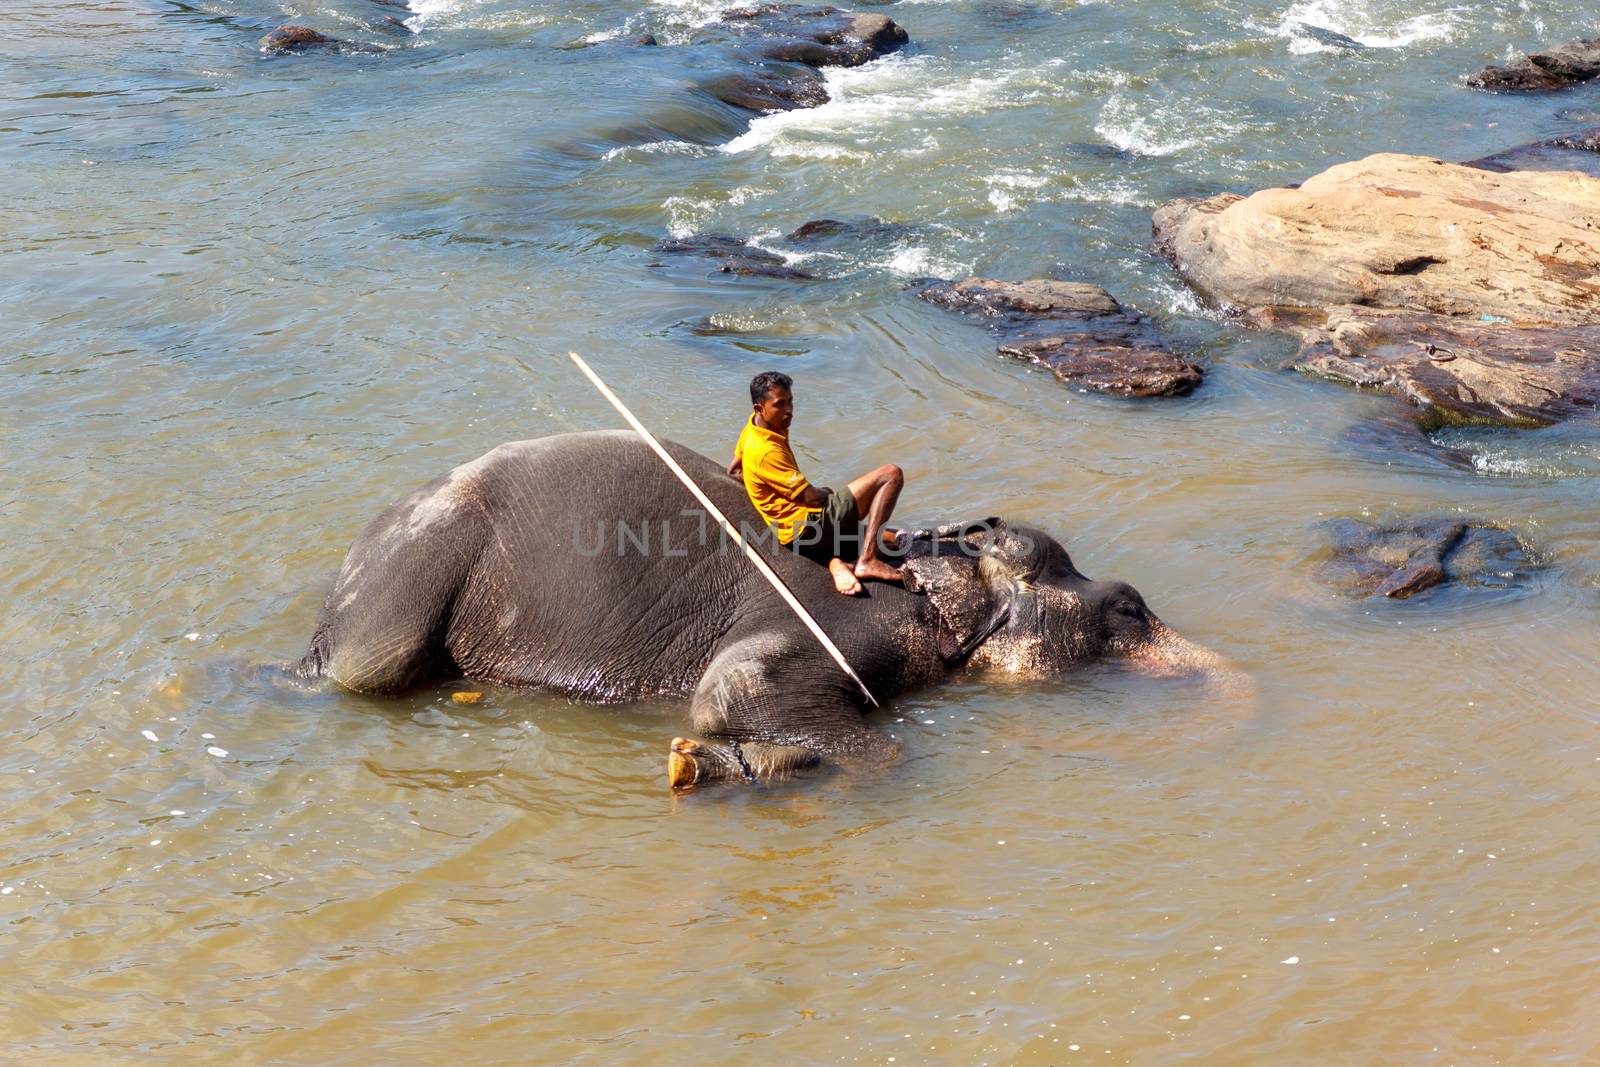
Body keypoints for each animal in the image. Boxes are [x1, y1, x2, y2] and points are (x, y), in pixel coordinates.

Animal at [297, 428, 1222, 790]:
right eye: (1129, 609)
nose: (1134, 601)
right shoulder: (847, 618)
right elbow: (735, 691)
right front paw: (710, 765)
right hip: (409, 583)